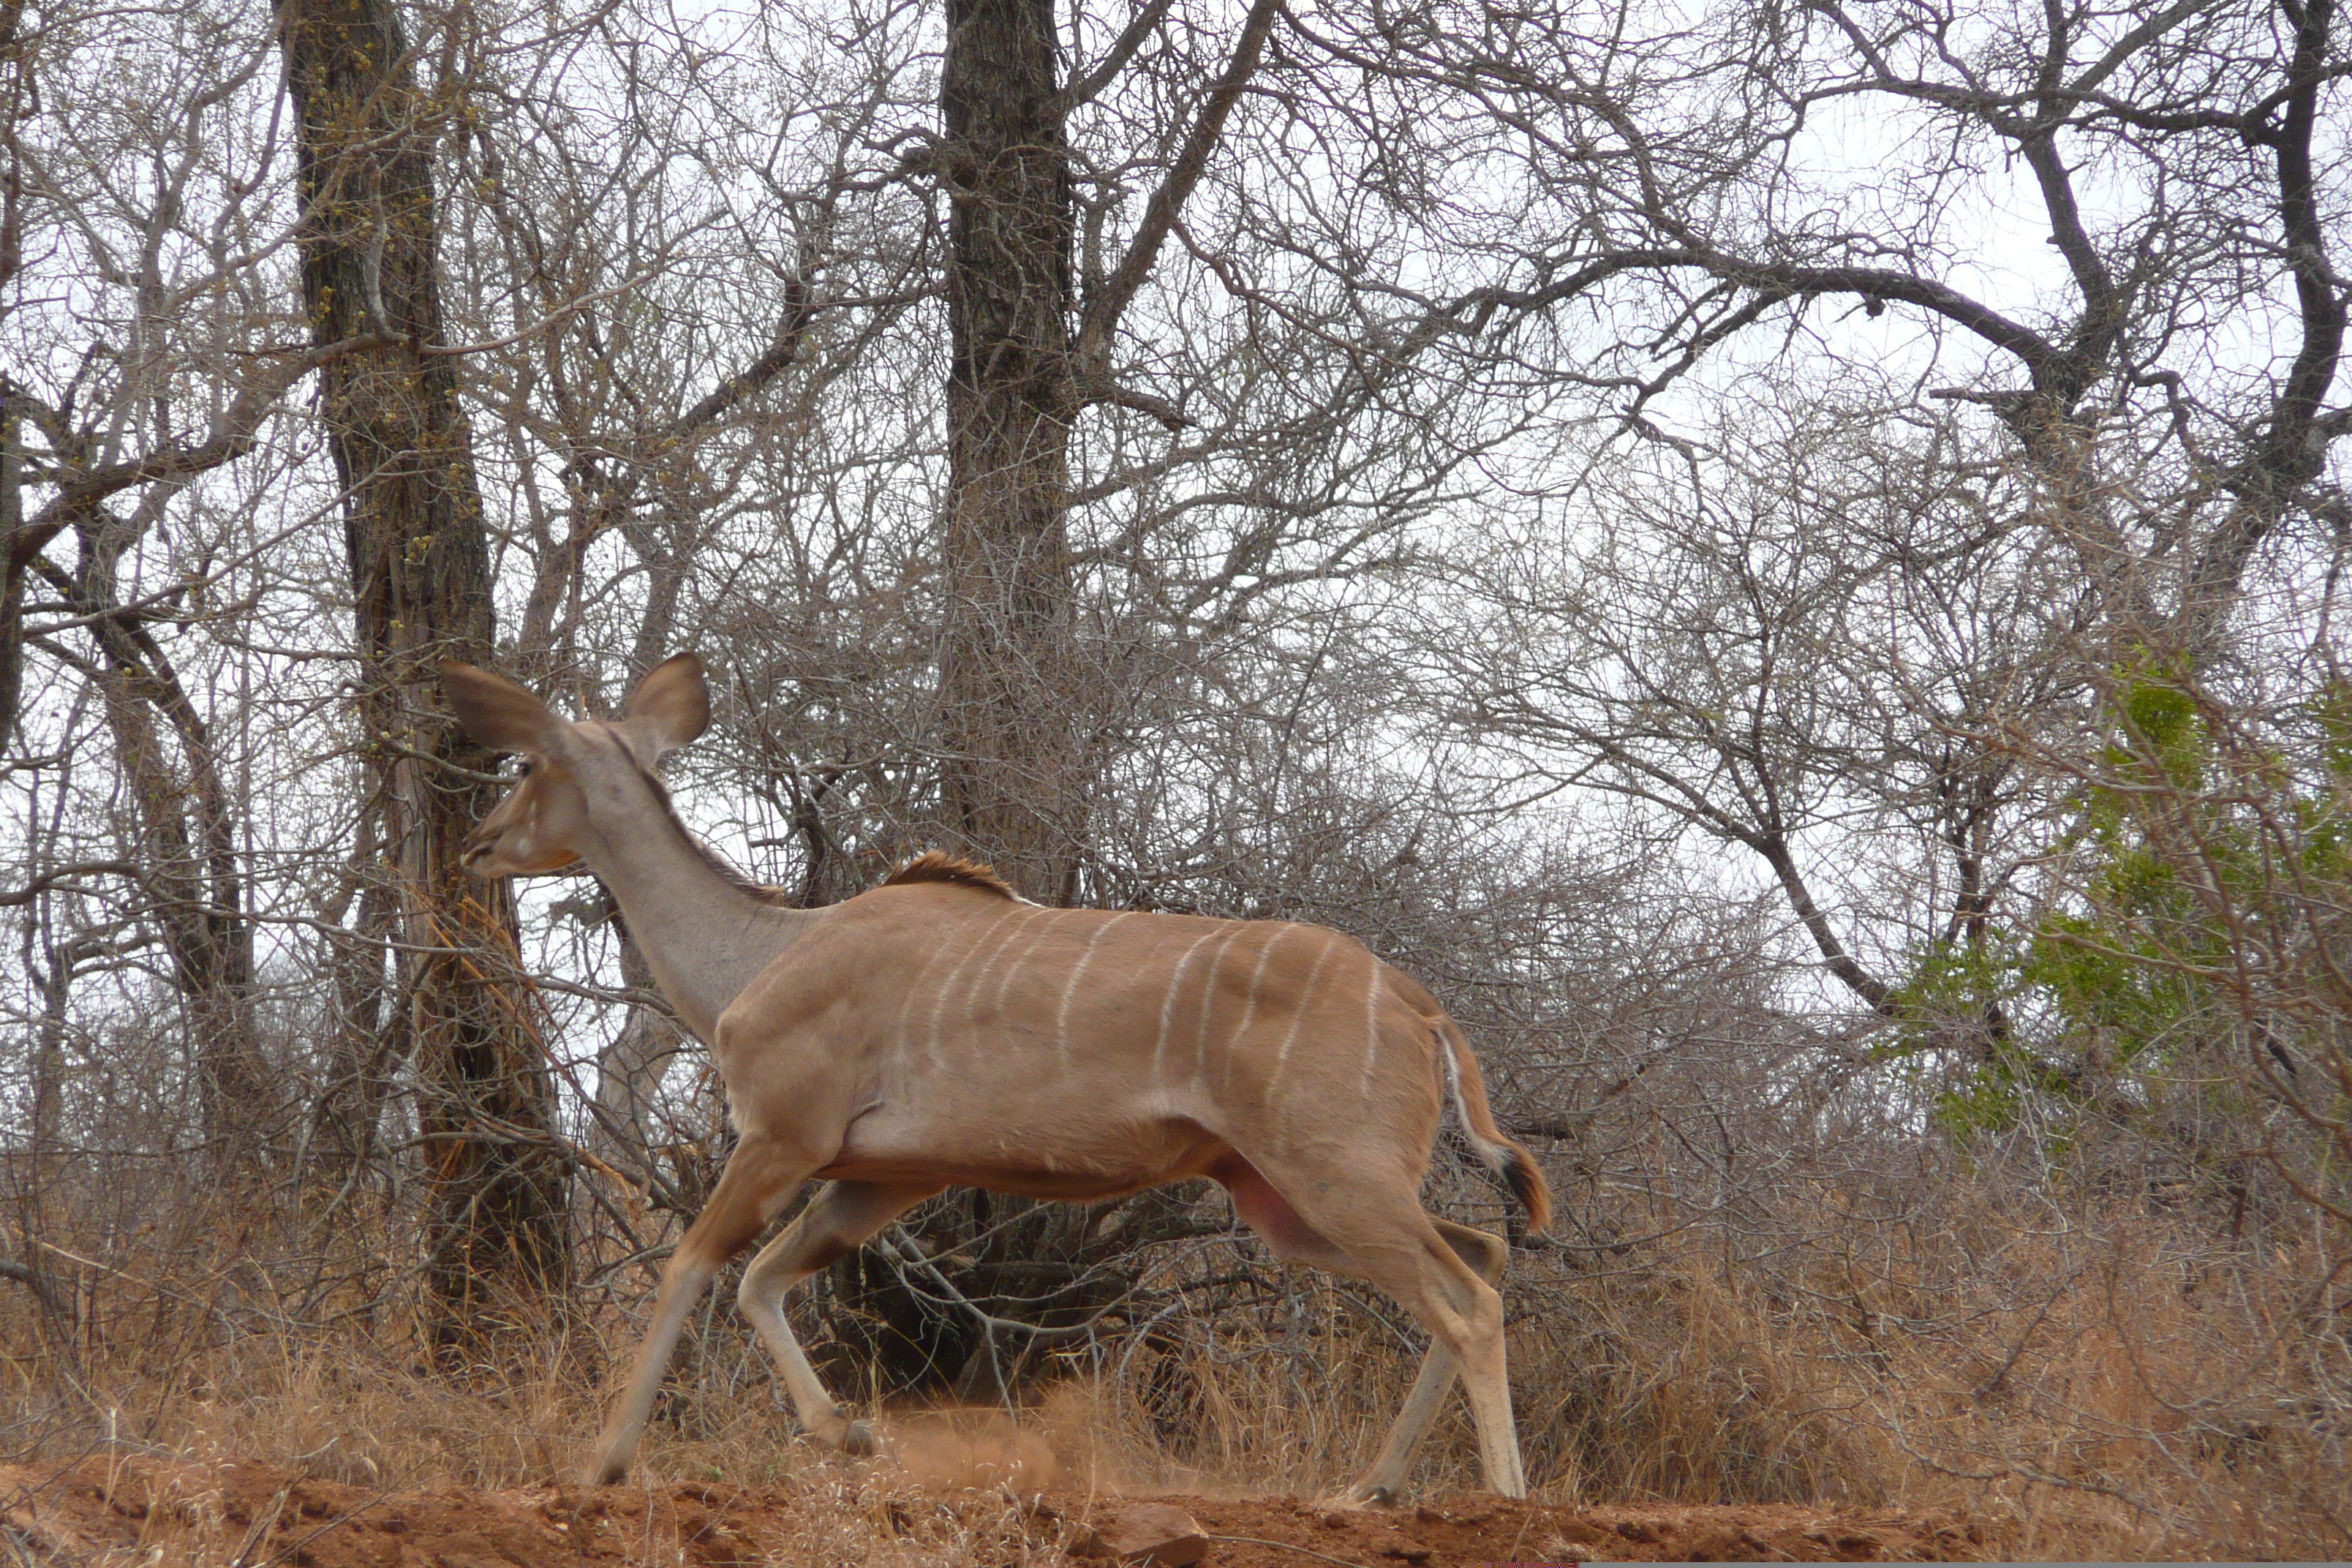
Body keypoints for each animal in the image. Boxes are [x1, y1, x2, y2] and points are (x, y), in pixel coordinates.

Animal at [442, 658, 1552, 1504]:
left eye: (528, 764)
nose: (479, 842)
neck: (760, 950)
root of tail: (1418, 1004)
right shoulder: (883, 1177)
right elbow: (763, 1278)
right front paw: (848, 1432)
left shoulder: (780, 1139)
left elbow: (692, 1265)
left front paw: (605, 1460)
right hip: (1283, 1195)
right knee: (1483, 1251)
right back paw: (1372, 1485)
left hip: (1330, 1173)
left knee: (1465, 1298)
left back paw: (1503, 1496)